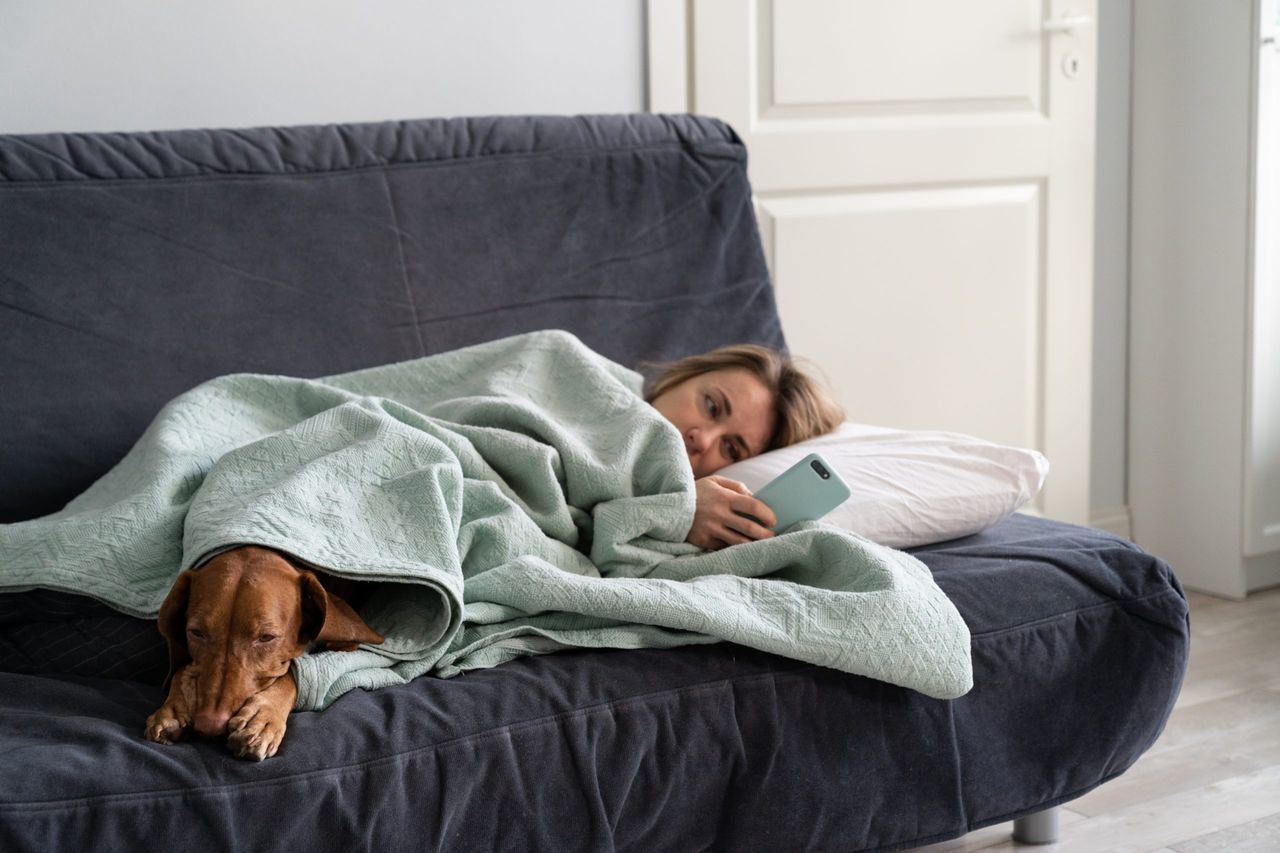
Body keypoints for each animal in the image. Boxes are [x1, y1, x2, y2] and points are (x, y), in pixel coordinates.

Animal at [145, 545, 381, 758]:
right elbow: (181, 668)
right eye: (196, 632)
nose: (209, 726)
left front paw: (263, 718)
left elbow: (292, 672)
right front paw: (174, 707)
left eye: (266, 637)